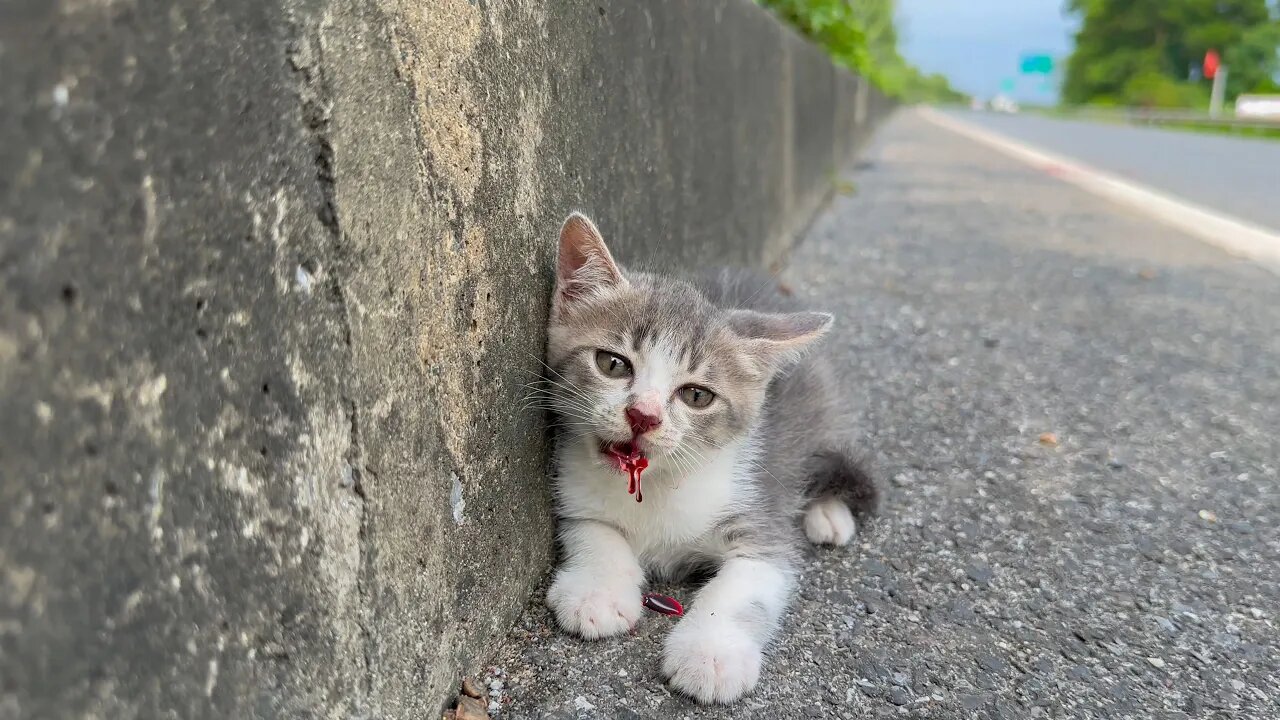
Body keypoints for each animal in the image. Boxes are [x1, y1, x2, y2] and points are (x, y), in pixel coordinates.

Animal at [540, 211, 880, 702]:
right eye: (612, 363)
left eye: (697, 395)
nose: (643, 416)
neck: (659, 482)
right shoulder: (574, 490)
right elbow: (596, 533)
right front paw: (596, 592)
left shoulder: (762, 519)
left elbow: (743, 587)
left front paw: (711, 654)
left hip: (825, 409)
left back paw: (828, 514)